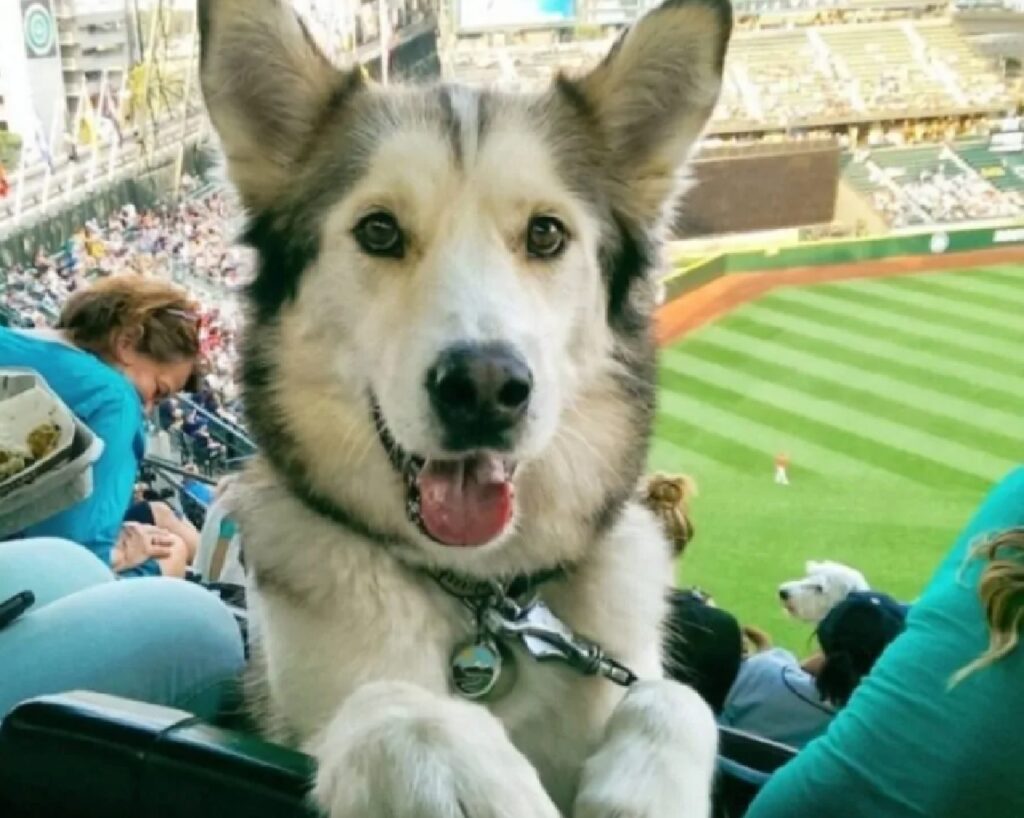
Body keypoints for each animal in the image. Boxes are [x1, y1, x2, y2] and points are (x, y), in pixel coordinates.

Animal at [197, 3, 729, 814]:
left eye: (546, 232)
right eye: (378, 230)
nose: (483, 386)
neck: (488, 600)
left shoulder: (625, 657)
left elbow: (671, 696)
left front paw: (643, 793)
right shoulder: (292, 711)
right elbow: (391, 702)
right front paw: (460, 767)